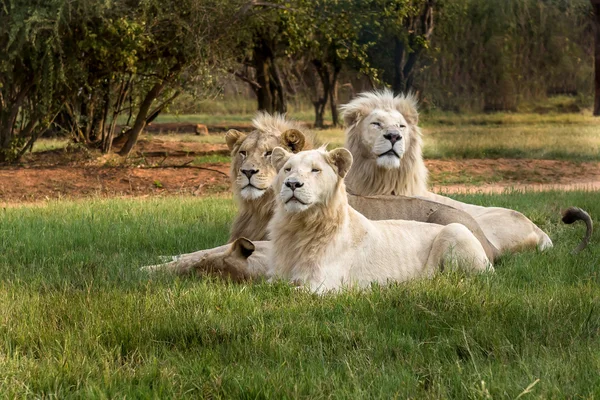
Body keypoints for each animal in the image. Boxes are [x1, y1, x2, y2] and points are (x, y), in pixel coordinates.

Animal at [268, 145, 492, 292]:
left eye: (315, 170)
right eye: (287, 169)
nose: (292, 184)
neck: (299, 225)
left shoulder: (322, 286)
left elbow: (285, 295)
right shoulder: (277, 277)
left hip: (455, 229)